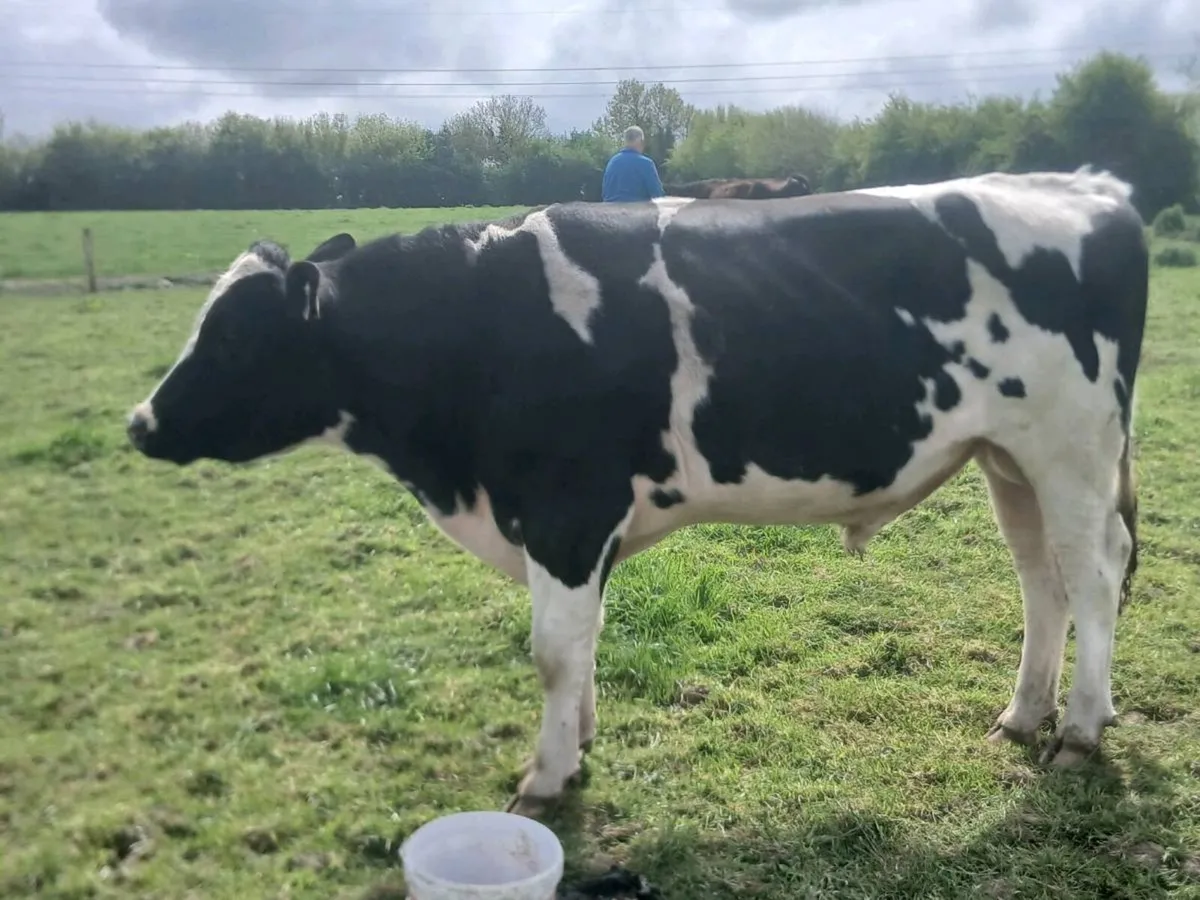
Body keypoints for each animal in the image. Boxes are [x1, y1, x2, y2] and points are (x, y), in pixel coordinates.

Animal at [125, 167, 1147, 818]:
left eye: (233, 337)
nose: (139, 423)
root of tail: (1089, 187)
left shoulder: (565, 510)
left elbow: (550, 651)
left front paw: (545, 778)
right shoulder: (582, 525)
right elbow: (582, 646)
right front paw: (577, 749)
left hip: (1072, 449)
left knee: (1094, 577)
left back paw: (1078, 732)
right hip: (1007, 459)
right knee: (1042, 582)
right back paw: (1021, 716)